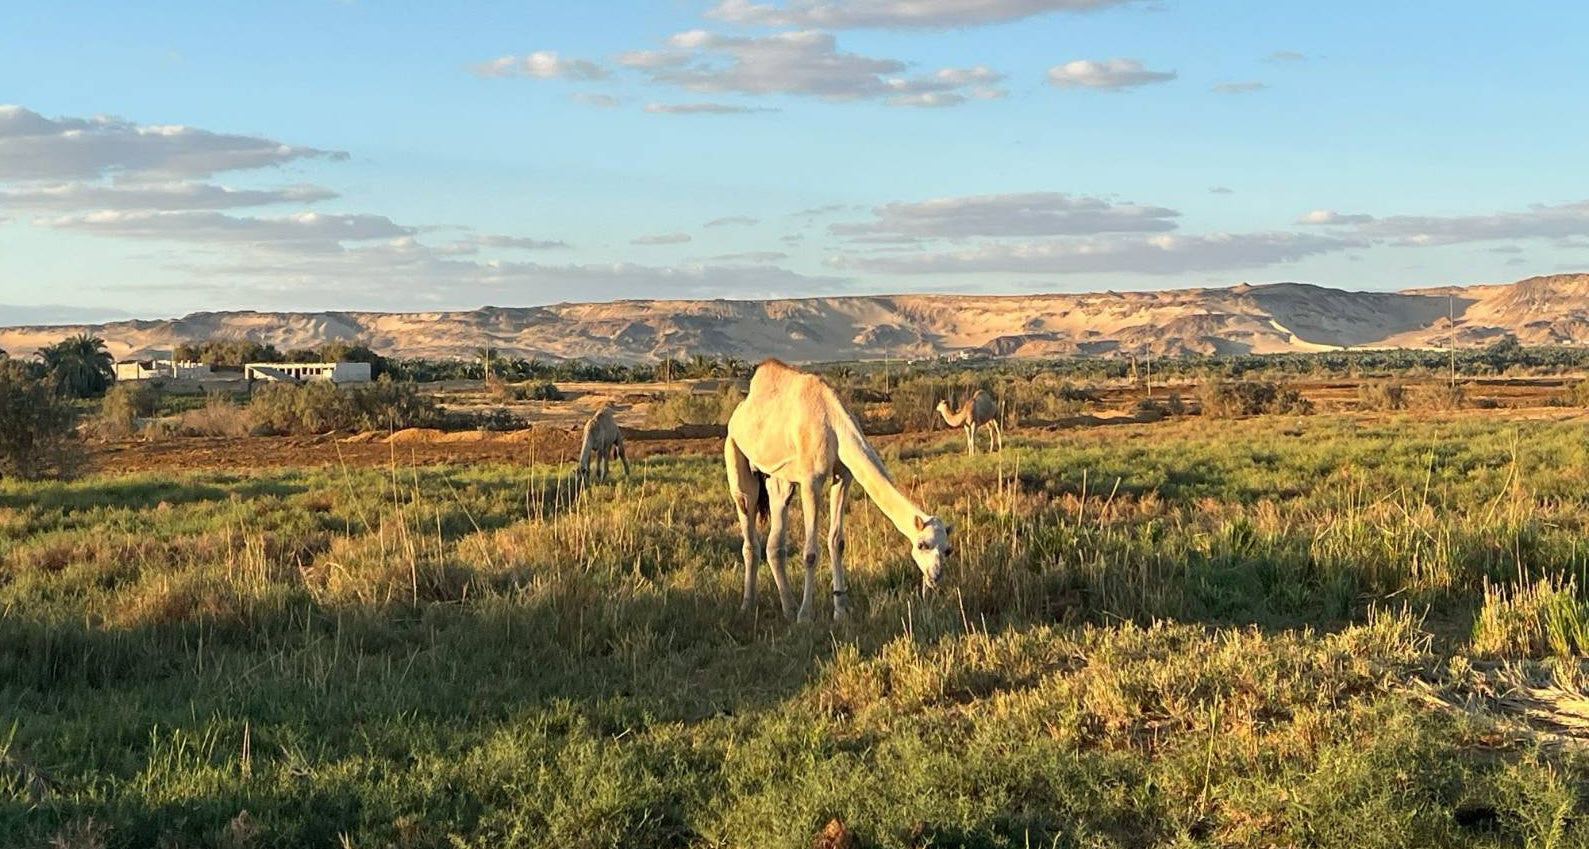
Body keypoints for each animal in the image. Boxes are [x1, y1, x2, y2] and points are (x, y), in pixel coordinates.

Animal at [725, 359, 952, 621]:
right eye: (922, 544)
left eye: (948, 550)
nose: (935, 577)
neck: (834, 424)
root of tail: (739, 412)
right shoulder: (811, 480)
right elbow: (810, 553)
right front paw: (805, 616)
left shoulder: (843, 476)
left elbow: (837, 542)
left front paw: (840, 610)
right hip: (735, 453)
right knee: (748, 523)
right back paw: (748, 606)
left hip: (779, 478)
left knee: (775, 538)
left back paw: (788, 609)